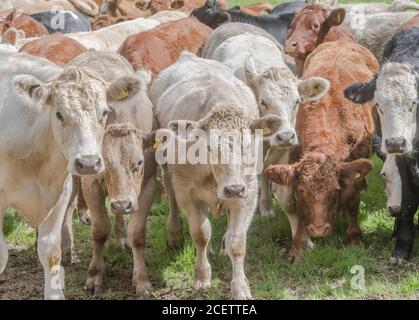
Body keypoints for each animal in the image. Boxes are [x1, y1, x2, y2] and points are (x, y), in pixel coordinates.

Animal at [266, 38, 380, 262]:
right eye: (303, 191)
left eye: (334, 191)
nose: (318, 230)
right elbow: (300, 210)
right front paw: (298, 246)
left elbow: (351, 199)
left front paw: (354, 238)